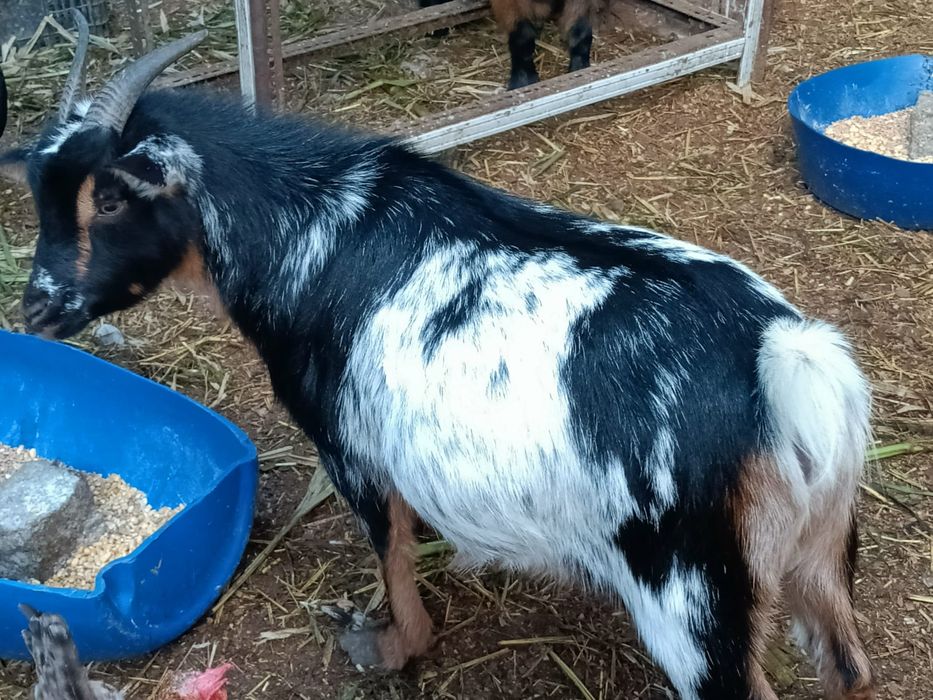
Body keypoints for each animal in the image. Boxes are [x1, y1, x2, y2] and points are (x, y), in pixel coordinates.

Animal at [0, 19, 876, 700]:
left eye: (112, 197)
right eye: (42, 194)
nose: (36, 308)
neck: (312, 233)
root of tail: (785, 361)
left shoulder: (351, 447)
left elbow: (389, 550)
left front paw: (388, 646)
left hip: (692, 595)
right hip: (821, 552)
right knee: (848, 668)